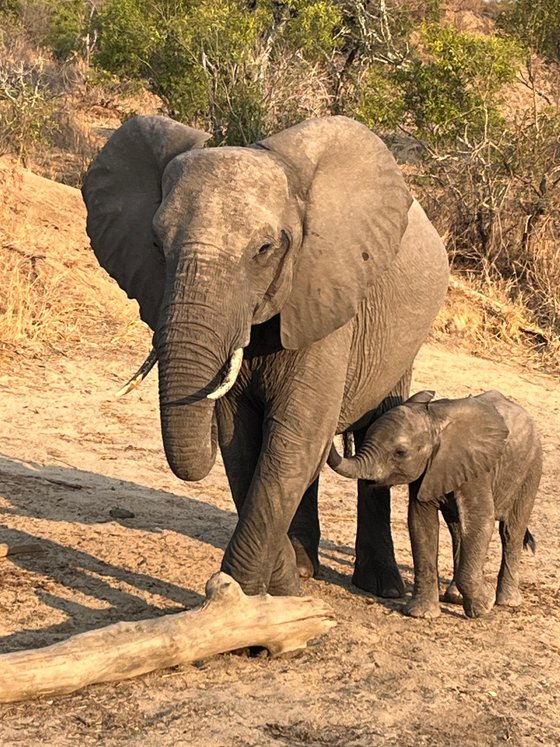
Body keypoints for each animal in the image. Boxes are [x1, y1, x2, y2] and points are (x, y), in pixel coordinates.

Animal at [82, 114, 449, 598]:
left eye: (264, 250)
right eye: (157, 245)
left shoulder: (326, 294)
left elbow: (293, 441)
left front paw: (252, 597)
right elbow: (241, 441)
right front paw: (279, 584)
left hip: (401, 341)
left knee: (375, 422)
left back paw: (380, 585)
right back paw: (306, 566)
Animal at [328, 390, 542, 618]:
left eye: (400, 452)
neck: (433, 422)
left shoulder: (477, 471)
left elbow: (480, 522)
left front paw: (484, 605)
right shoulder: (428, 470)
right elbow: (421, 524)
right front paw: (420, 614)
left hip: (531, 469)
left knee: (511, 531)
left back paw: (507, 601)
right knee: (457, 530)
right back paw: (456, 597)